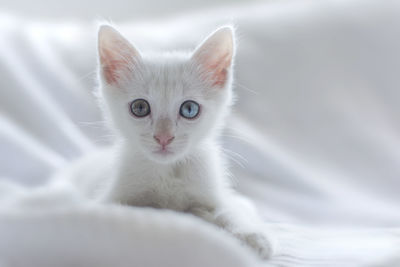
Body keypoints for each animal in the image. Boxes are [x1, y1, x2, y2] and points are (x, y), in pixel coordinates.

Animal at [60, 25, 272, 260]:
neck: (167, 171)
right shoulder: (109, 199)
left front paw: (252, 235)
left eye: (189, 109)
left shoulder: (211, 192)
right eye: (140, 107)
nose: (164, 137)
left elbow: (227, 209)